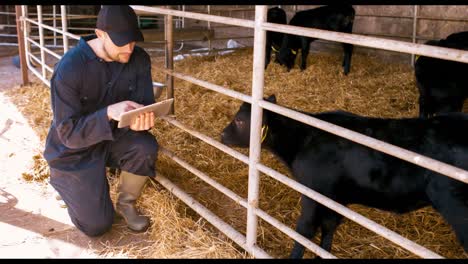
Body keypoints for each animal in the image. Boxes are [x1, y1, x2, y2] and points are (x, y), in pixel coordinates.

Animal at [221, 95, 468, 258]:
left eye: (240, 120)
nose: (222, 134)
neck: (305, 138)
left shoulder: (313, 194)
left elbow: (304, 231)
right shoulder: (336, 199)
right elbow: (328, 229)